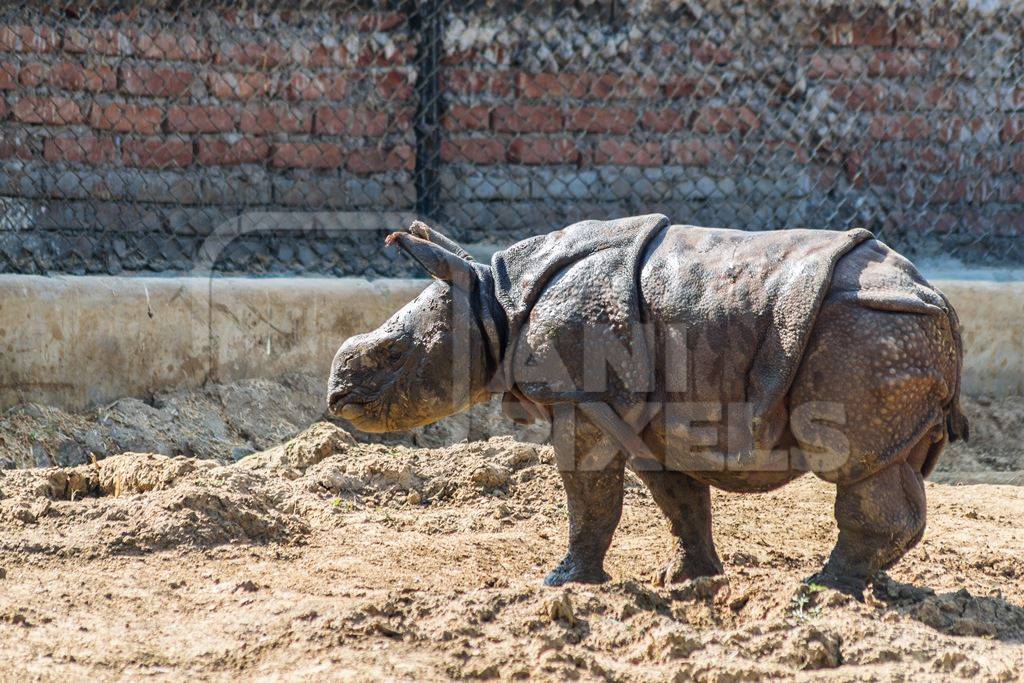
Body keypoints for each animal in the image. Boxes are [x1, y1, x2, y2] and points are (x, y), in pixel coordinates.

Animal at [327, 215, 966, 598]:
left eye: (392, 354)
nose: (336, 396)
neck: (495, 301)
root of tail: (938, 299)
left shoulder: (582, 398)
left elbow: (591, 499)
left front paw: (561, 585)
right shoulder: (651, 414)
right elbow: (678, 497)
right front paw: (685, 579)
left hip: (867, 330)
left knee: (853, 460)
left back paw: (823, 589)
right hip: (886, 331)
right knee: (890, 461)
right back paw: (856, 586)